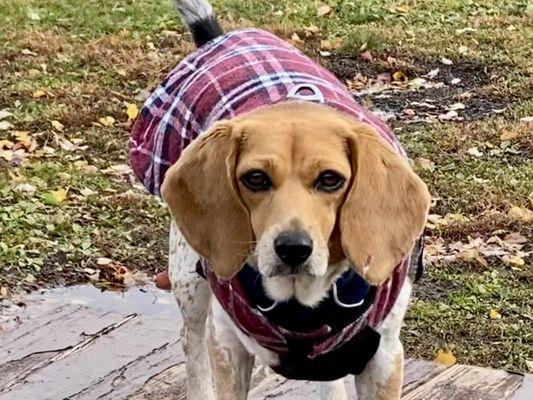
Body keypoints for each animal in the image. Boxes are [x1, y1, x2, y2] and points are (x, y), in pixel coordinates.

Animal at [130, 1, 432, 398]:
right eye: (255, 178)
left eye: (330, 180)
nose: (293, 248)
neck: (301, 310)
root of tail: (218, 38)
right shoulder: (228, 345)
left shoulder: (382, 357)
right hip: (187, 278)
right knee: (190, 345)